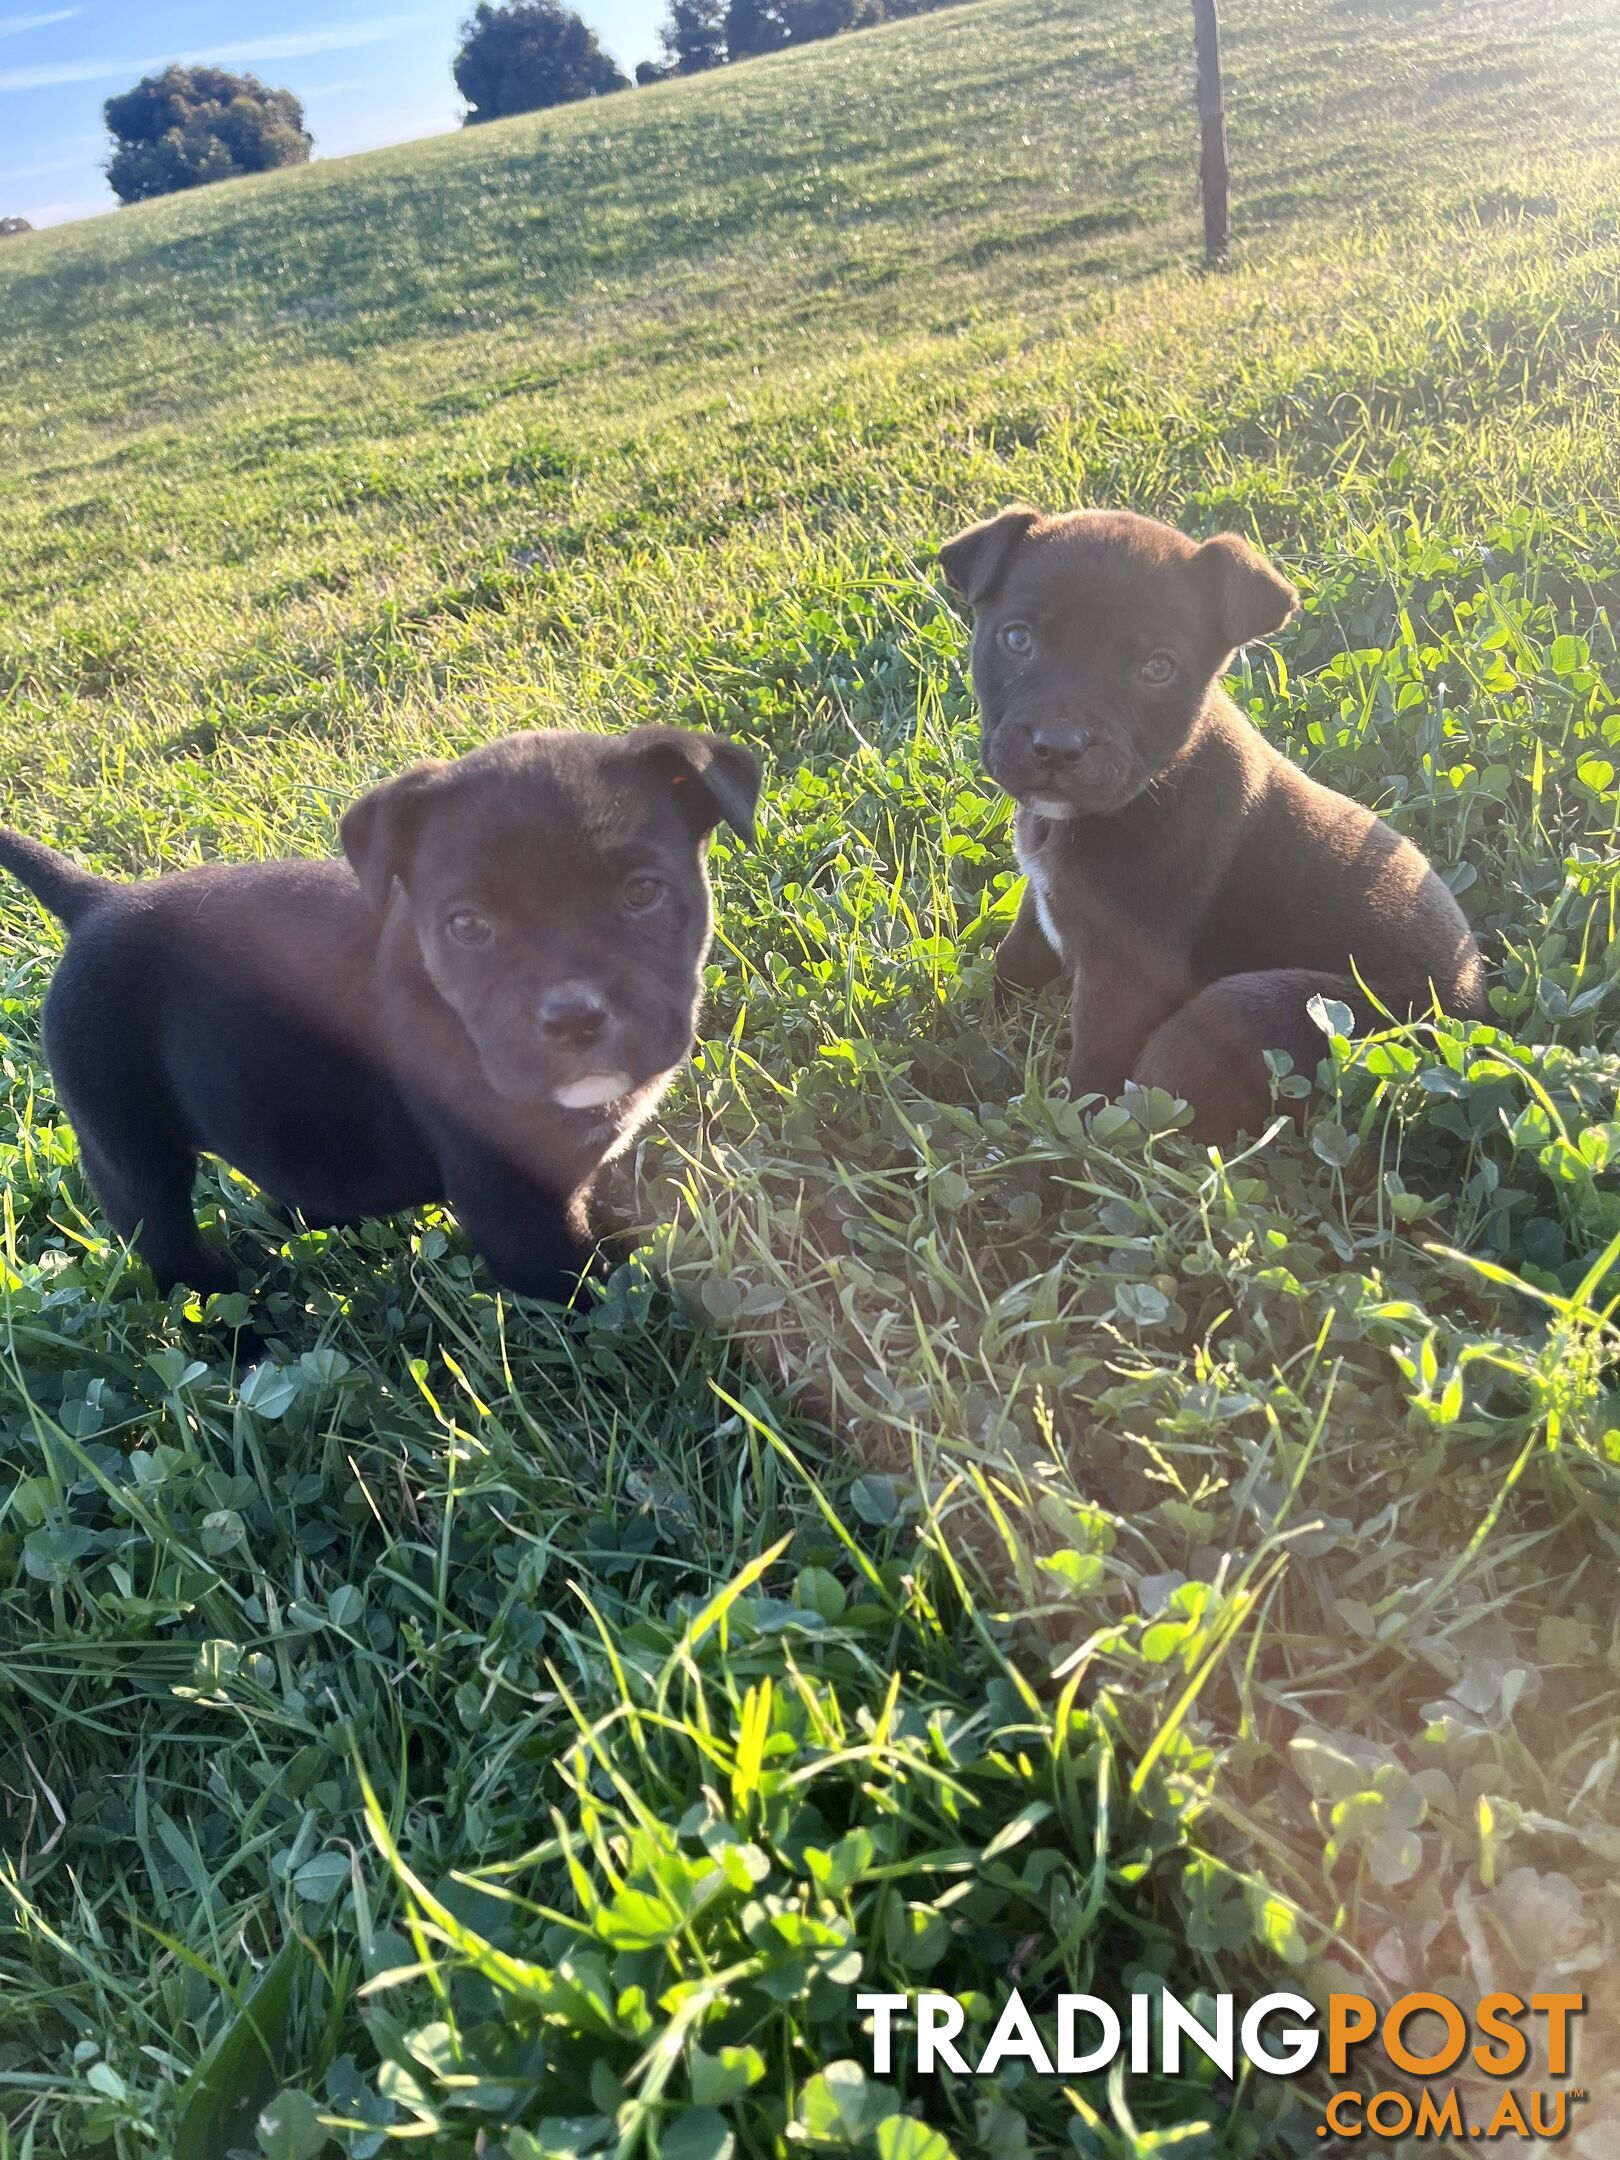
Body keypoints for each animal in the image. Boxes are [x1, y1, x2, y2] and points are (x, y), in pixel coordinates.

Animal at [0, 725, 760, 1296]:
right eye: (467, 926)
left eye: (642, 893)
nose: (573, 1018)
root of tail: (98, 903)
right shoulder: (512, 1208)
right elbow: (585, 1293)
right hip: (130, 1150)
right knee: (171, 1252)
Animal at [946, 507, 1494, 1140]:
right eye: (1017, 639)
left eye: (1158, 668)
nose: (1057, 747)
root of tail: (1475, 1006)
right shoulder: (1043, 901)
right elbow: (1012, 962)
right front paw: (953, 1025)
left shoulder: (1128, 975)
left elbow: (1093, 1071)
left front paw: (1072, 1137)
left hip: (1256, 1009)